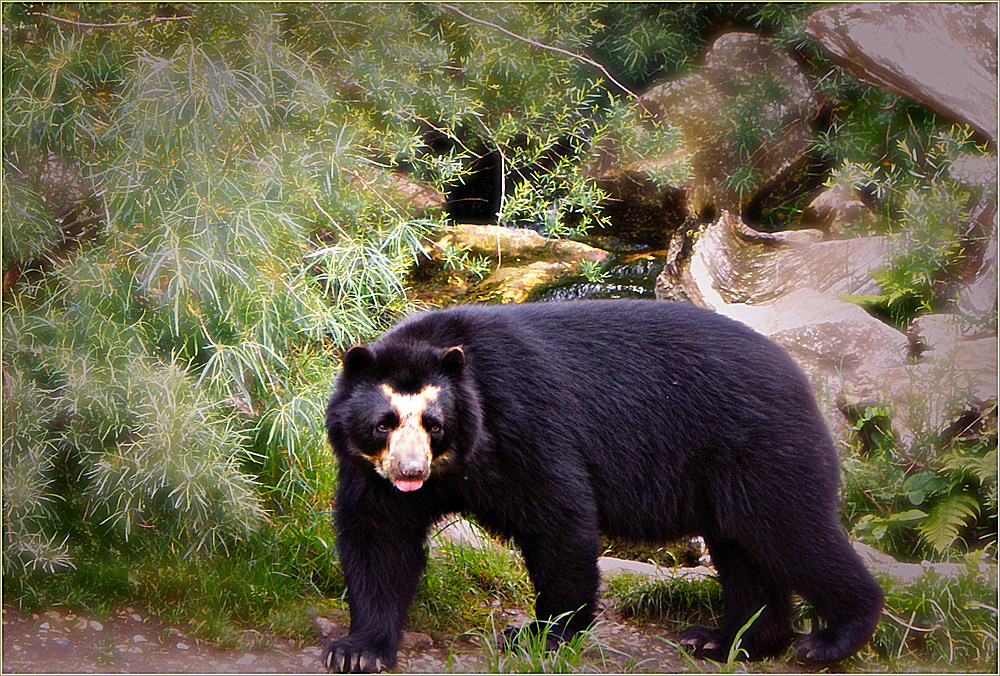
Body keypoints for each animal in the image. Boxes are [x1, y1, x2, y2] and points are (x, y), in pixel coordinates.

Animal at [320, 300, 884, 672]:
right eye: (383, 424)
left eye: (434, 425)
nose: (411, 473)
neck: (458, 461)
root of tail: (800, 374)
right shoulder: (369, 471)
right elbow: (379, 536)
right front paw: (357, 650)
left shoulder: (521, 423)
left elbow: (557, 514)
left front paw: (544, 633)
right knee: (745, 551)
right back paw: (726, 641)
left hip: (758, 447)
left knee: (791, 532)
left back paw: (830, 639)